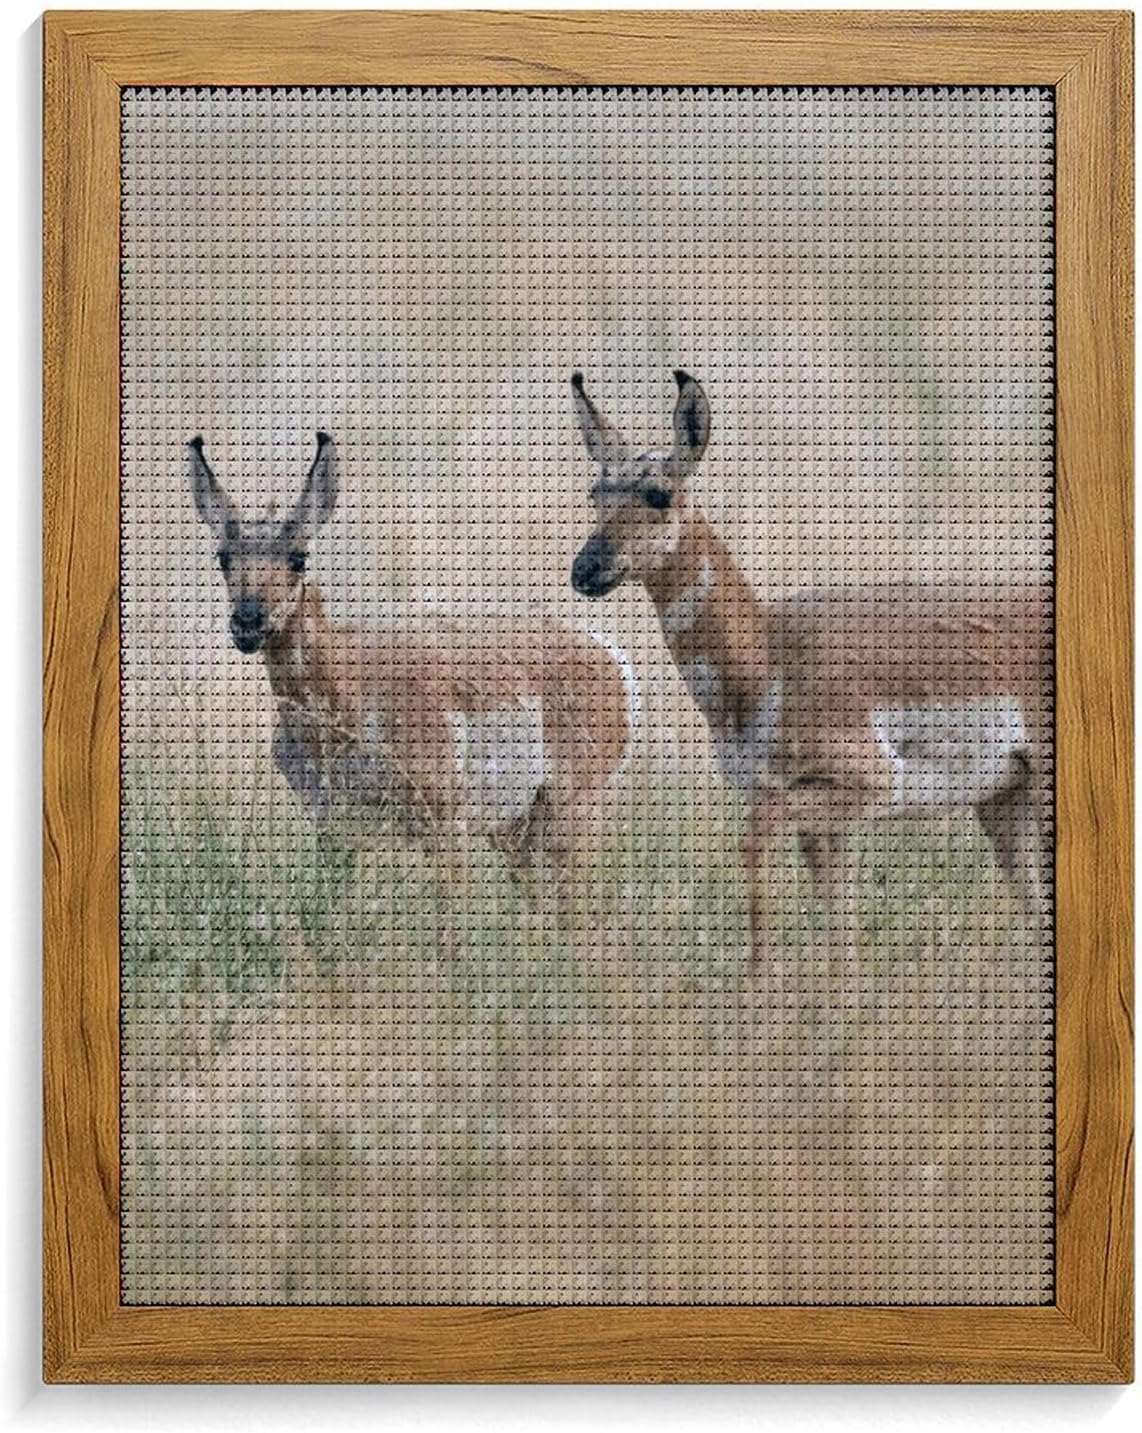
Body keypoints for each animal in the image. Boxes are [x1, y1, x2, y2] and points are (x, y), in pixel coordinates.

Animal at [188, 431, 639, 895]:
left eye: (298, 558)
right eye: (224, 557)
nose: (247, 620)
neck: (349, 690)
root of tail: (606, 653)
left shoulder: (445, 822)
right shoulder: (334, 826)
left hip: (571, 815)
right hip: (517, 832)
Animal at [570, 370, 1051, 978]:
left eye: (659, 493)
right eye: (596, 494)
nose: (584, 570)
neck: (769, 658)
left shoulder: (863, 786)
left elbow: (755, 838)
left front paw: (757, 985)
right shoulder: (821, 821)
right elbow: (841, 935)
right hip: (1004, 800)